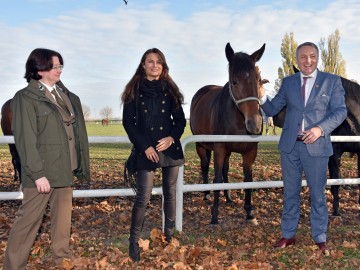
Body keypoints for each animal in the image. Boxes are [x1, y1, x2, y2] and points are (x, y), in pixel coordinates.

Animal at [191, 42, 264, 224]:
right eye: (234, 82)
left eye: (258, 80)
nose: (254, 124)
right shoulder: (219, 149)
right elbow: (217, 178)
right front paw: (214, 215)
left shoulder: (250, 152)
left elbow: (247, 179)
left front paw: (249, 212)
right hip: (201, 146)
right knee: (204, 166)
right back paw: (206, 195)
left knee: (225, 169)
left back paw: (228, 197)